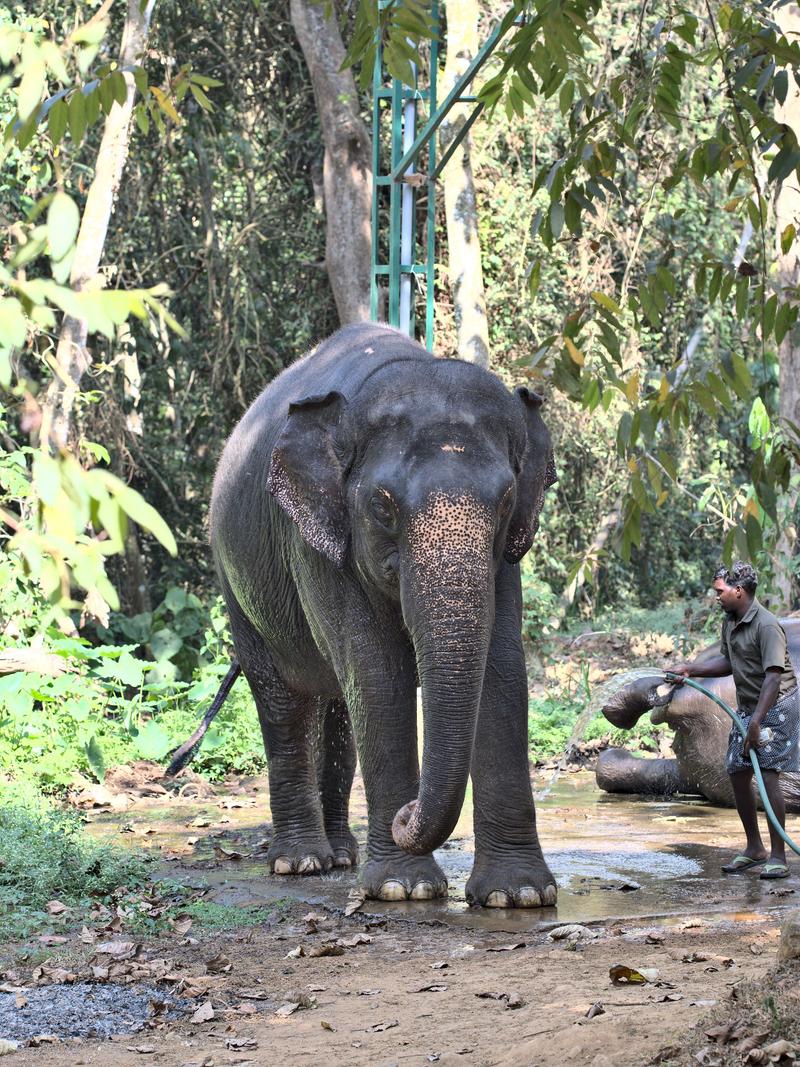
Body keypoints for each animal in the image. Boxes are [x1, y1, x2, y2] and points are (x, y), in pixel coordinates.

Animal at [210, 322, 558, 909]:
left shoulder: (506, 558)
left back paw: (342, 855)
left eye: (508, 499)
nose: (404, 814)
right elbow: (377, 676)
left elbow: (504, 671)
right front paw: (403, 888)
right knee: (284, 703)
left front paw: (519, 895)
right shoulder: (320, 545)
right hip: (236, 588)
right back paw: (301, 862)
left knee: (337, 712)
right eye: (381, 506)